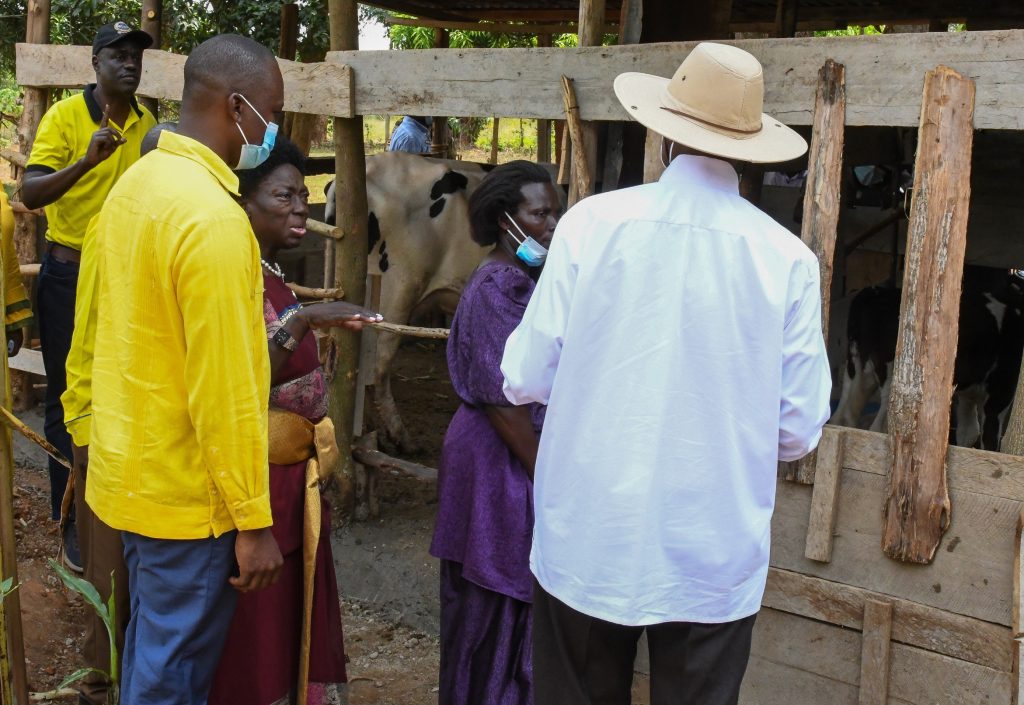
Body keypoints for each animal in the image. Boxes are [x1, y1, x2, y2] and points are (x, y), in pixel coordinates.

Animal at [831, 266, 1024, 448]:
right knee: (879, 426)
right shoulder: (1001, 393)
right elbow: (989, 439)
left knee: (843, 416)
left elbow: (968, 432)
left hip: (857, 369)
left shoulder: (969, 394)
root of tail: (875, 293)